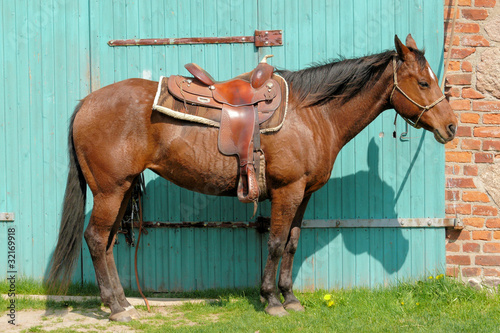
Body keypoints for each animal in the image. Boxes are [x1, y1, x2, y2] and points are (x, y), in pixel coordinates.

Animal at [47, 35, 458, 320]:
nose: (451, 127)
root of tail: (86, 103)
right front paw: (272, 300)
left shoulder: (303, 194)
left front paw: (290, 298)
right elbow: (275, 244)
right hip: (110, 189)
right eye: (423, 83)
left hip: (122, 189)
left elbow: (292, 244)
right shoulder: (287, 191)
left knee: (109, 243)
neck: (312, 114)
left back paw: (121, 302)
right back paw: (116, 307)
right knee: (96, 239)